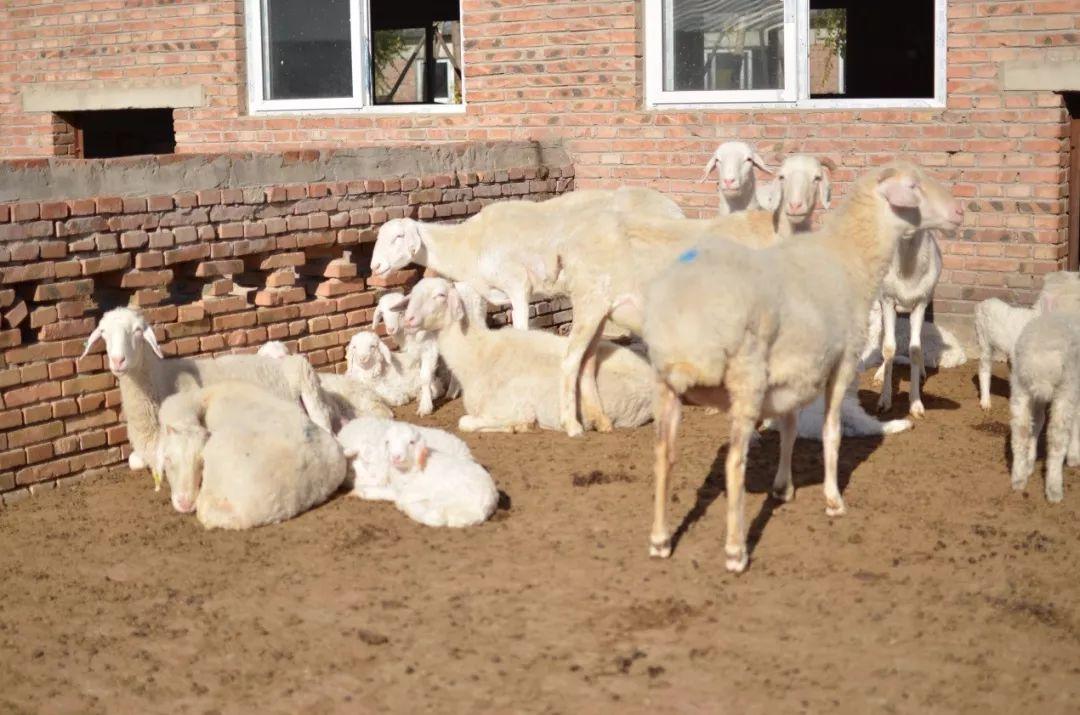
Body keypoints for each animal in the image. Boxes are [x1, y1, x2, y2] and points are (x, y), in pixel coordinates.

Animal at [80, 308, 335, 488]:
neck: (160, 381)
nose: (118, 361)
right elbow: (135, 461)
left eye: (137, 331)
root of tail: (281, 359)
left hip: (306, 379)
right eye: (103, 333)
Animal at [369, 186, 684, 330]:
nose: (375, 266)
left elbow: (521, 329)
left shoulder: (518, 285)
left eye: (398, 237)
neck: (470, 244)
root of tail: (674, 209)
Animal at [402, 278, 654, 433]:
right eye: (412, 294)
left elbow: (465, 422)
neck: (477, 353)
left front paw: (517, 427)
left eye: (440, 295)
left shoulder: (510, 407)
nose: (408, 320)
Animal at [872, 227, 945, 418]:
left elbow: (915, 349)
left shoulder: (920, 304)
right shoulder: (887, 300)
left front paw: (916, 405)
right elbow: (889, 347)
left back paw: (922, 372)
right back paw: (879, 374)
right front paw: (884, 402)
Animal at [1009, 312, 1080, 503]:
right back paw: (1054, 488)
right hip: (1065, 387)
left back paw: (1020, 475)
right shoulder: (1074, 387)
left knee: (1022, 431)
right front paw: (1074, 455)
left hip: (1020, 386)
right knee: (1057, 438)